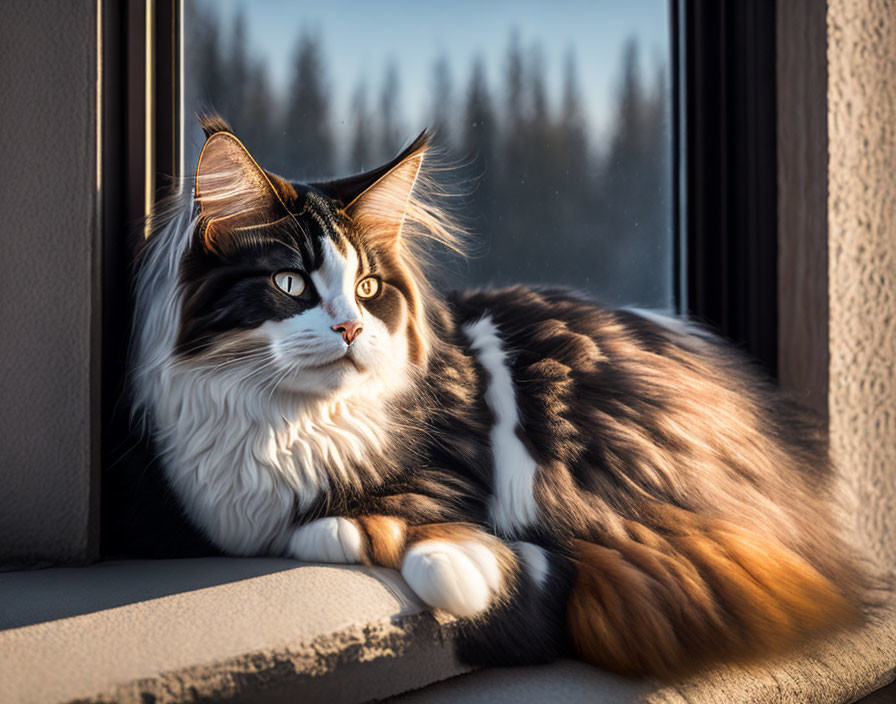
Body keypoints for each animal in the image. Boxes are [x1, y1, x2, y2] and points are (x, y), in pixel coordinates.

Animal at [133, 118, 868, 680]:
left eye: (368, 289)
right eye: (290, 283)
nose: (350, 328)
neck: (288, 420)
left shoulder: (449, 474)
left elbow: (390, 524)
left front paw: (457, 570)